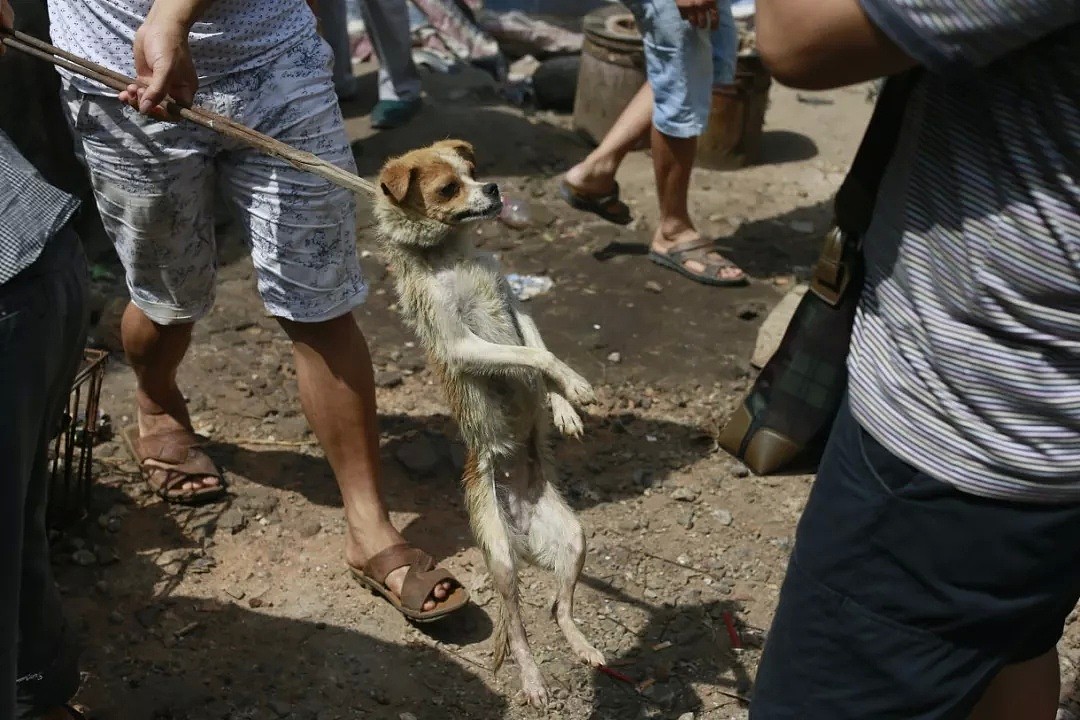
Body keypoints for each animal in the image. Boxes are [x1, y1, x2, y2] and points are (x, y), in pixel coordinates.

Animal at [375, 139, 604, 703]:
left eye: (474, 171)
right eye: (447, 189)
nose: (495, 187)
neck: (452, 256)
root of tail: (521, 534)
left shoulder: (514, 302)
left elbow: (535, 344)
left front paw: (563, 406)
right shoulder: (460, 341)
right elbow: (533, 357)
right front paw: (574, 386)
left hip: (573, 537)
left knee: (558, 608)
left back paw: (581, 644)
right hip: (498, 557)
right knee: (517, 622)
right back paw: (532, 677)